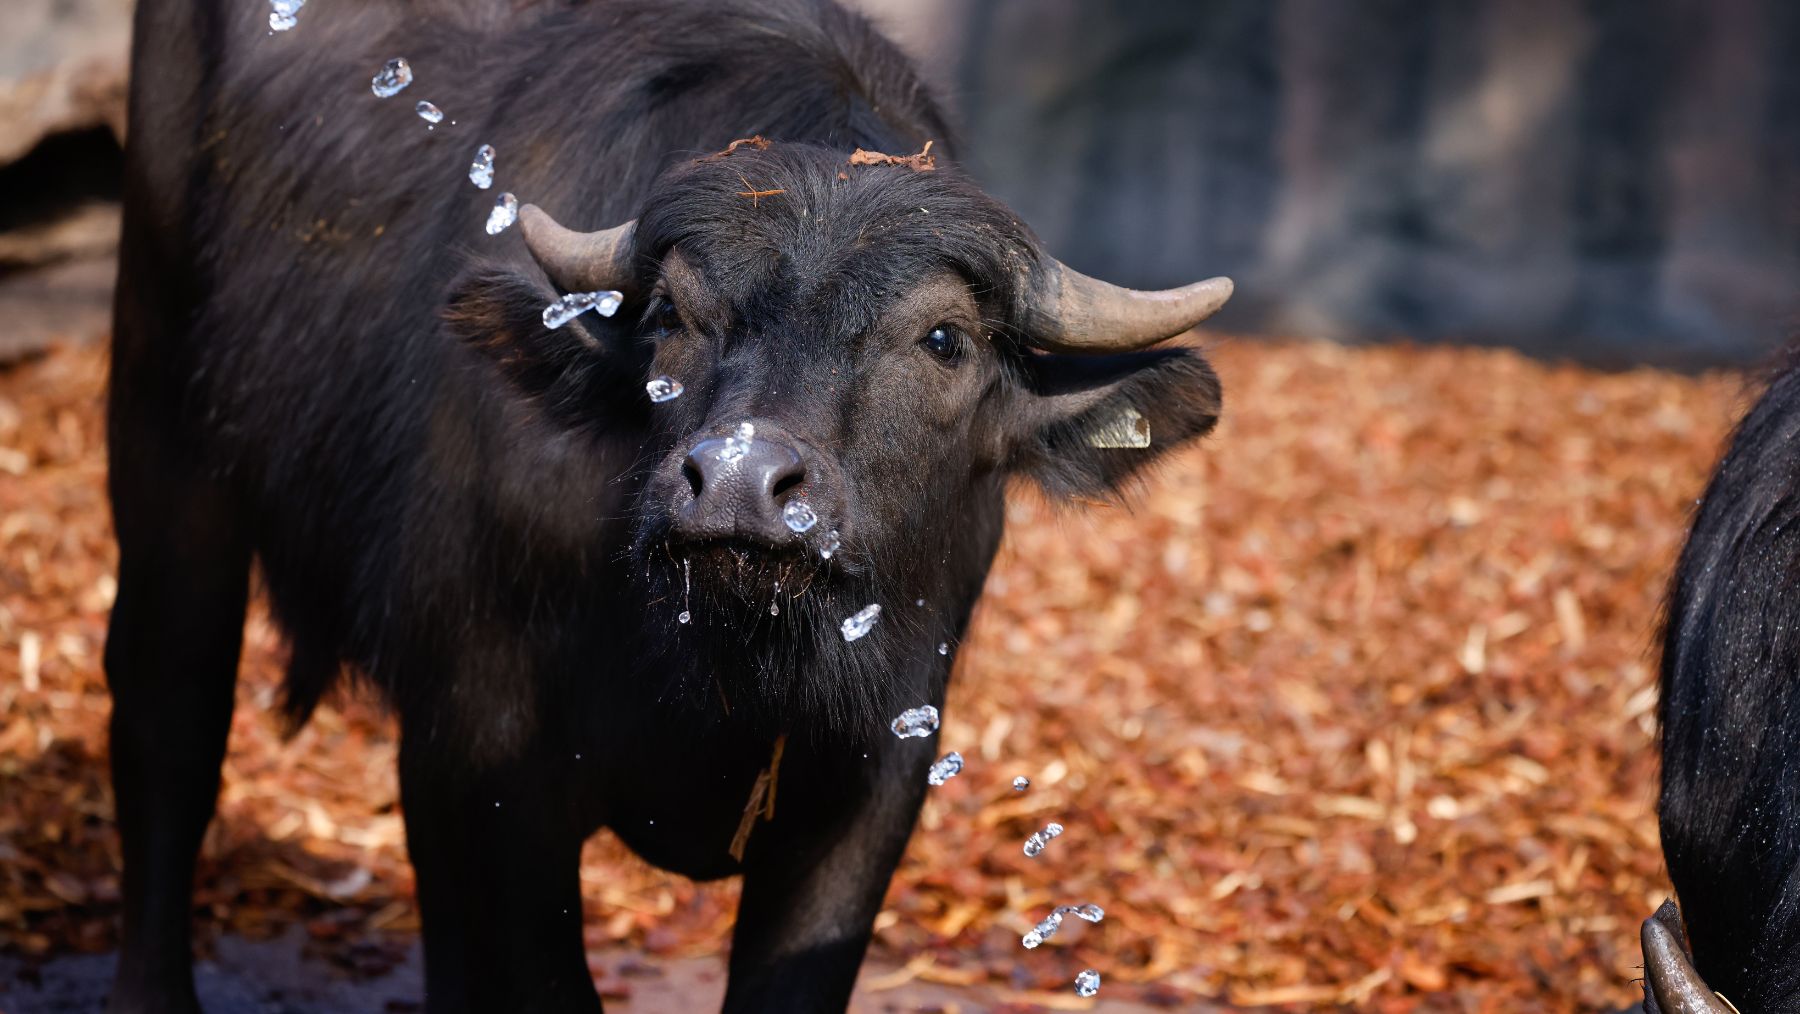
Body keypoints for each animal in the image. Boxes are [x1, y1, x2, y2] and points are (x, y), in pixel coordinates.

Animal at [106, 0, 1232, 1011]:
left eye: (944, 339)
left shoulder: (873, 788)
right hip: (164, 433)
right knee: (169, 718)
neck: (720, 666)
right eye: (672, 316)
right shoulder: (499, 762)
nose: (737, 482)